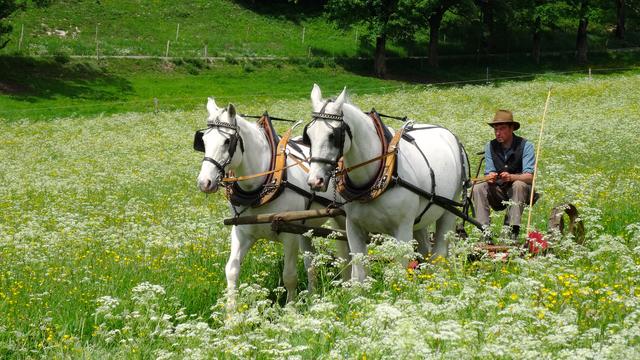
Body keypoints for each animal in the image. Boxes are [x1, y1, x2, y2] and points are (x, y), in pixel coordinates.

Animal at [196, 97, 348, 304]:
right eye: (203, 140)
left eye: (228, 141)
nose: (204, 182)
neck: (260, 187)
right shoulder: (242, 232)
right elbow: (231, 270)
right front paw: (230, 312)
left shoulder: (289, 236)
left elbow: (289, 276)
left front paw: (290, 307)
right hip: (304, 227)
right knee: (311, 262)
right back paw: (311, 297)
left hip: (341, 217)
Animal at [302, 85, 468, 282]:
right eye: (308, 135)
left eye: (332, 135)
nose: (315, 180)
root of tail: (450, 135)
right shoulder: (353, 228)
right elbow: (359, 274)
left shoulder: (403, 231)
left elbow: (399, 274)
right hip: (420, 220)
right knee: (425, 251)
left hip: (449, 209)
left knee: (438, 254)